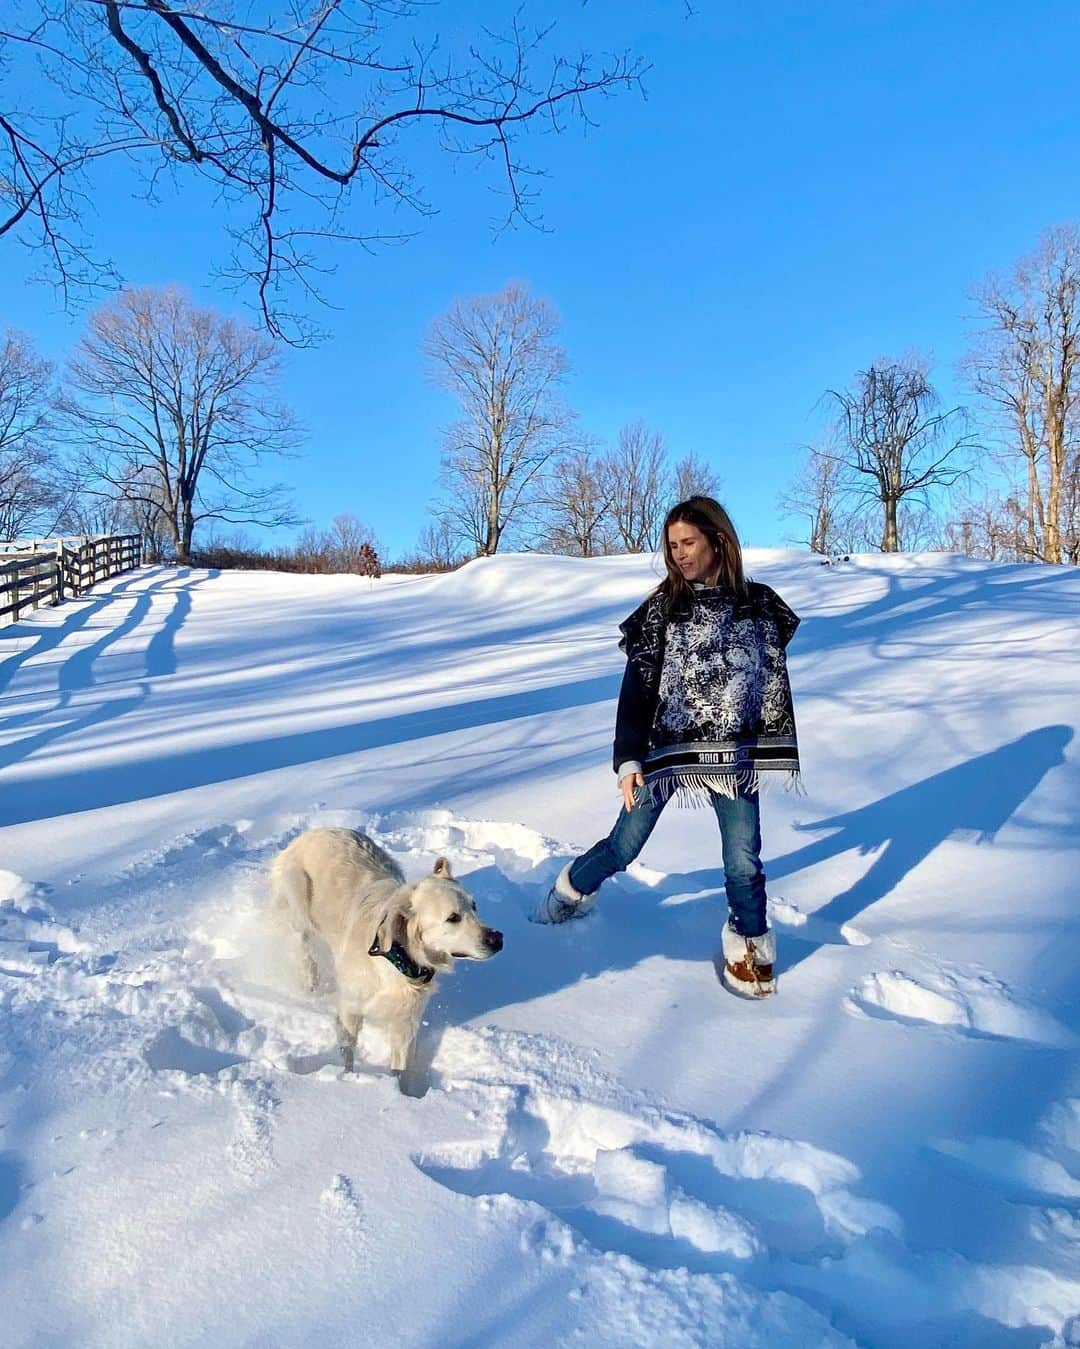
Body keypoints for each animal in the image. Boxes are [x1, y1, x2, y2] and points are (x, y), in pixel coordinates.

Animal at [269, 825, 506, 1079]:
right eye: (453, 918)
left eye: (474, 906)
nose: (498, 939)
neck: (397, 961)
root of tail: (315, 831)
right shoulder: (350, 1009)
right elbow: (348, 1051)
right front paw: (346, 1078)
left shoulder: (406, 1022)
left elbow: (399, 1068)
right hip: (299, 905)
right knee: (306, 952)